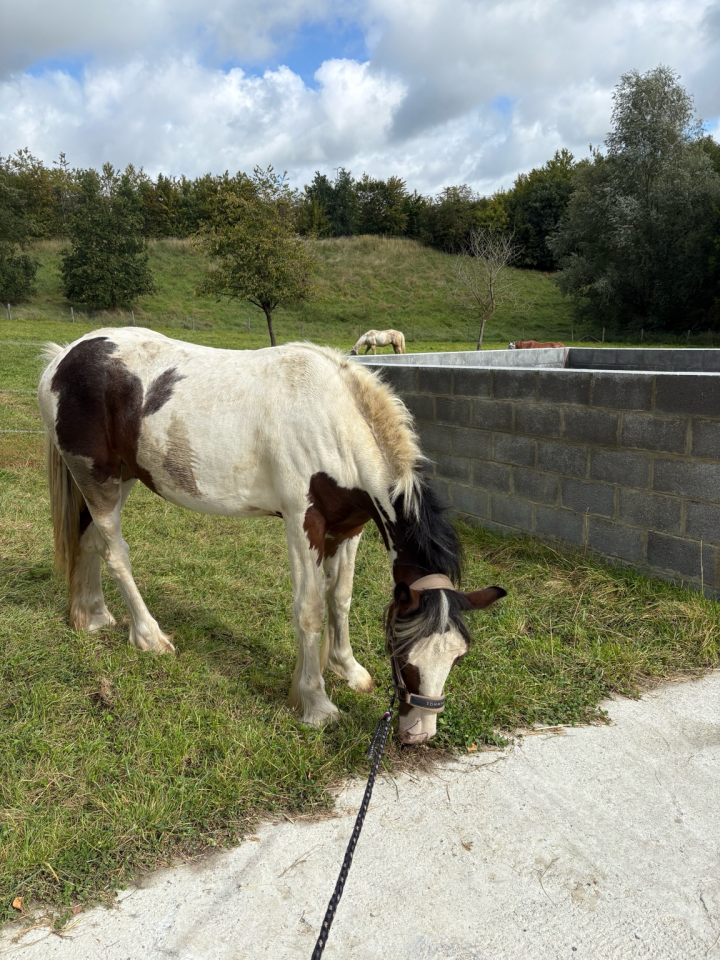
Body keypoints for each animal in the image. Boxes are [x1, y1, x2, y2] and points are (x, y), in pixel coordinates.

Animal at [38, 329, 505, 745]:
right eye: (403, 654)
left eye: (458, 656)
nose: (418, 735)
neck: (335, 423)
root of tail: (63, 356)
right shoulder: (303, 522)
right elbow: (310, 610)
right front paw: (316, 704)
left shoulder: (350, 527)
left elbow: (341, 598)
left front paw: (347, 670)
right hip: (98, 479)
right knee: (116, 553)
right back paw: (150, 637)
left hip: (118, 479)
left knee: (89, 542)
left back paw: (93, 617)